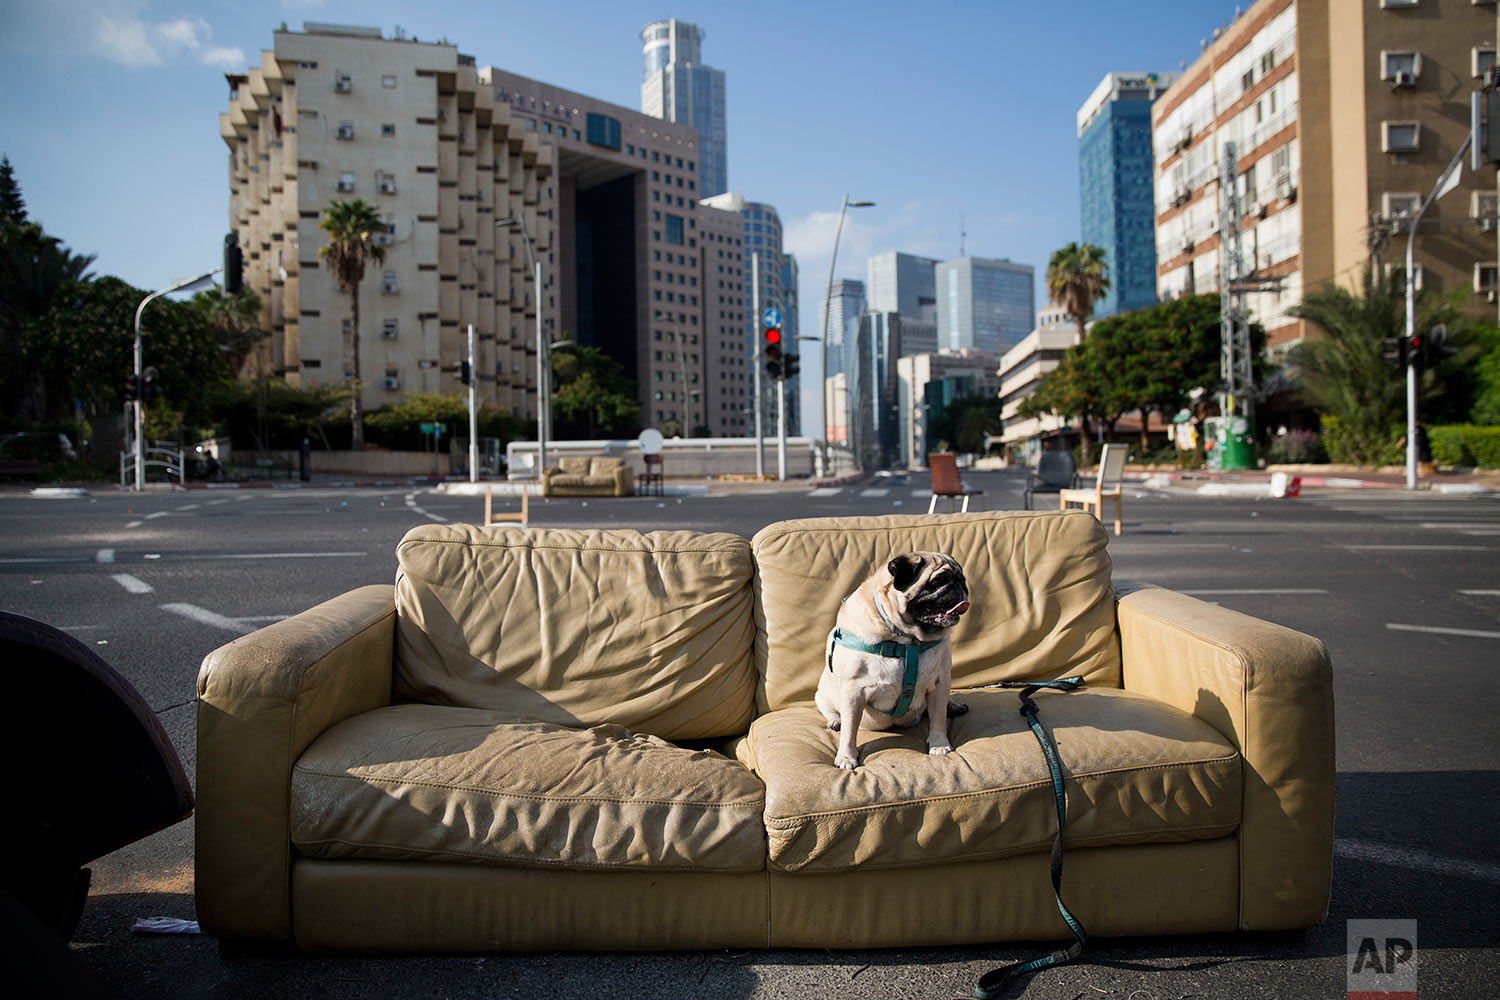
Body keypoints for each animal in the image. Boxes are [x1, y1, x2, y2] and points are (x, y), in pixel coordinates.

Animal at [822, 551, 972, 773]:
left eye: (962, 579)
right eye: (938, 581)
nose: (960, 586)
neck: (906, 640)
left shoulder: (940, 683)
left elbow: (938, 718)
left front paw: (939, 744)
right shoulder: (852, 692)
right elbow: (849, 732)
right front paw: (846, 757)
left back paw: (953, 706)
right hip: (822, 695)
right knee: (836, 715)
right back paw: (835, 722)